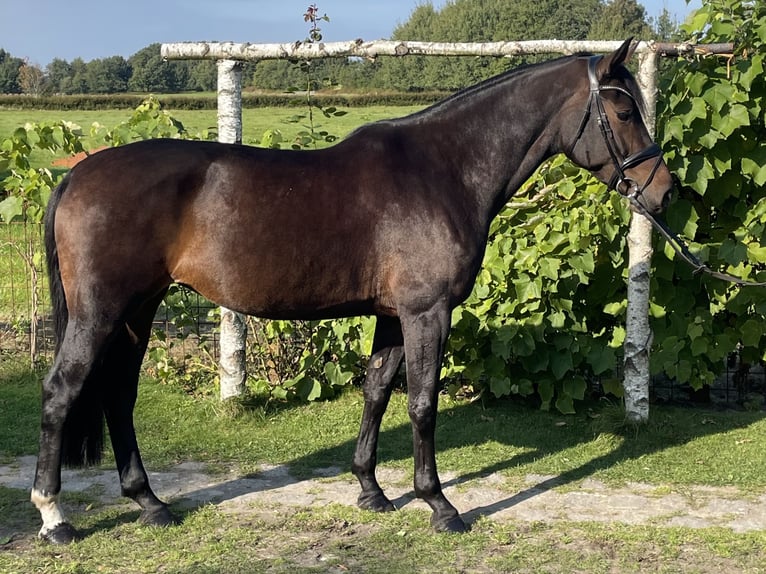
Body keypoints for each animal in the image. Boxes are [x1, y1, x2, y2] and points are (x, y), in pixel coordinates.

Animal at [32, 39, 673, 543]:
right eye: (622, 109)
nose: (662, 191)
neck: (443, 171)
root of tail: (77, 173)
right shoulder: (426, 313)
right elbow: (420, 403)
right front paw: (439, 505)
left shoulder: (393, 315)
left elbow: (377, 391)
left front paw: (371, 491)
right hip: (100, 313)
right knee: (62, 392)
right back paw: (54, 516)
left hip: (138, 310)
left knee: (118, 394)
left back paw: (149, 503)